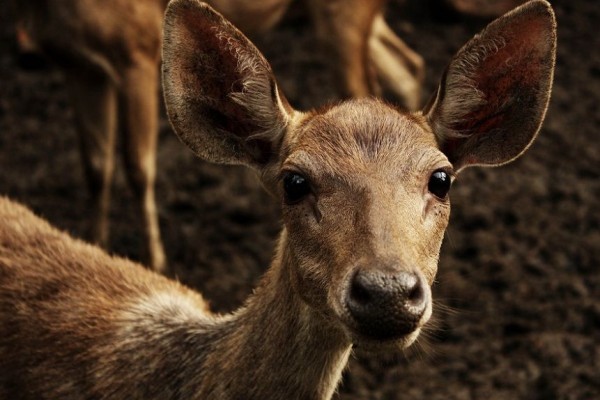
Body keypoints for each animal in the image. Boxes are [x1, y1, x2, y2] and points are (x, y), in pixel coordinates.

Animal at [7, 0, 424, 272]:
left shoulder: (136, 49)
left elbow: (137, 166)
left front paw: (155, 262)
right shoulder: (78, 66)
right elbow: (95, 165)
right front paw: (94, 248)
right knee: (407, 66)